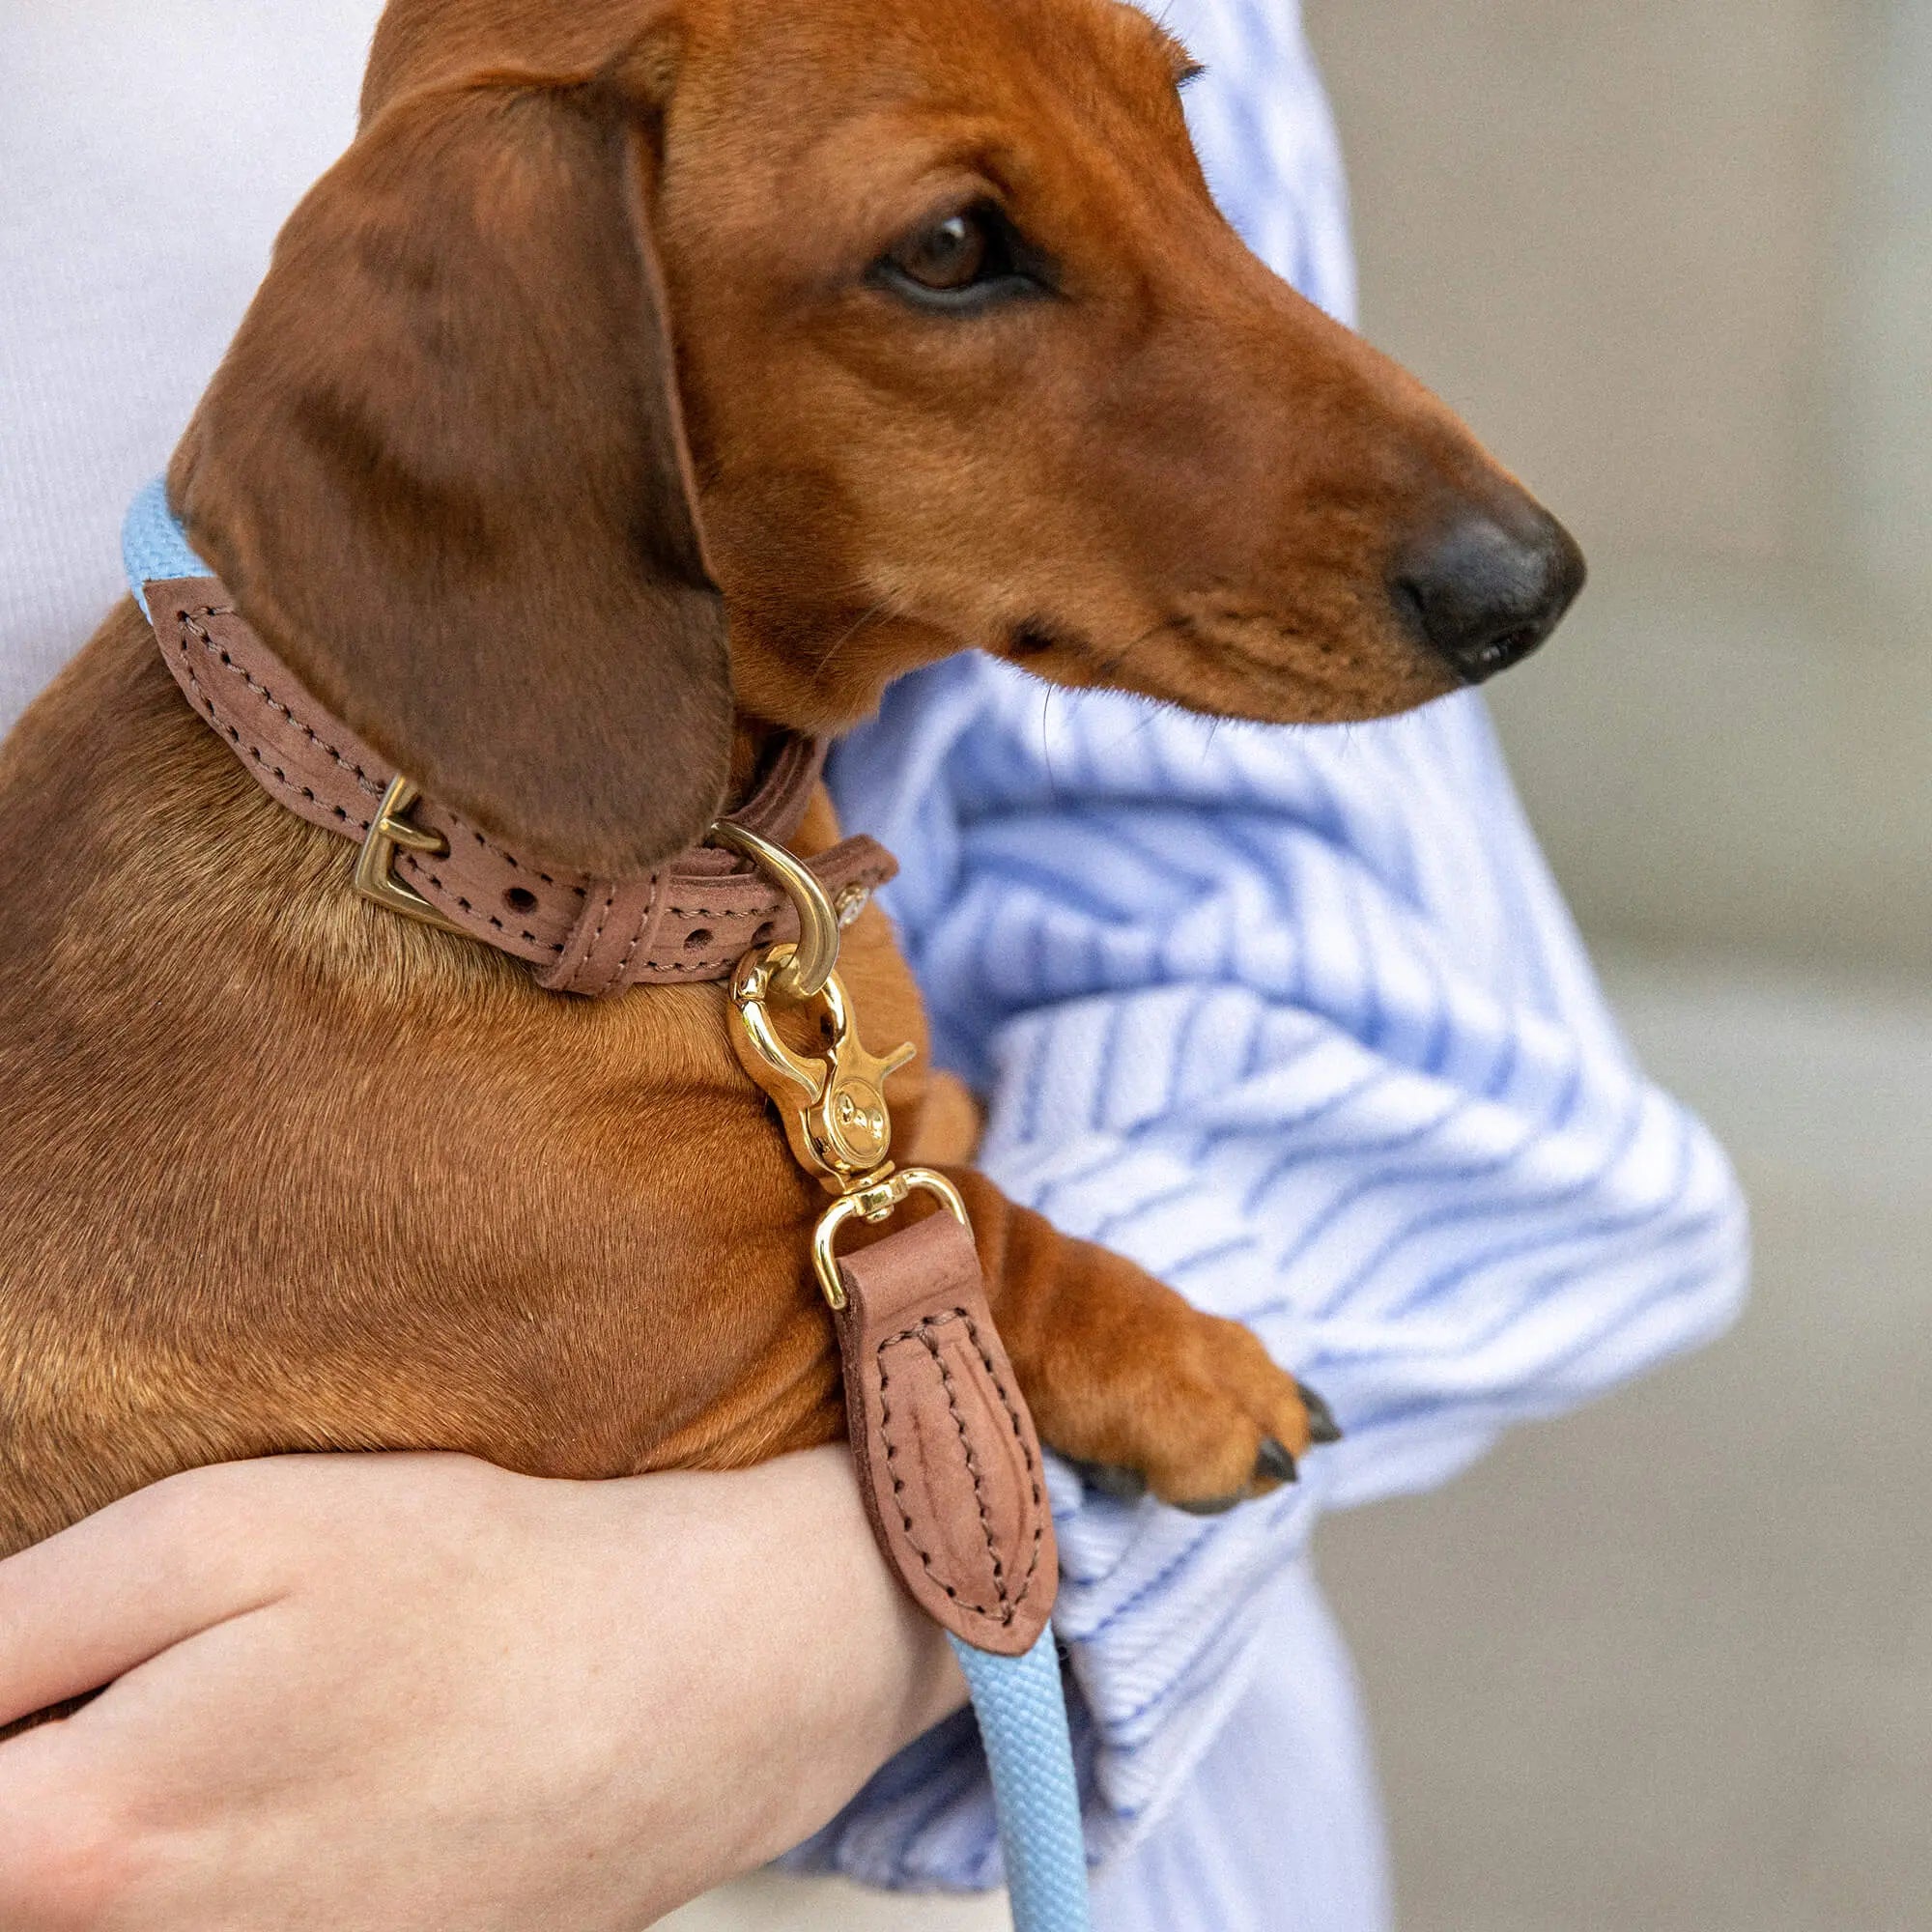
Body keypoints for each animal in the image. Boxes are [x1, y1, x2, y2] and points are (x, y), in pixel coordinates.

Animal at [0, 0, 1577, 1569]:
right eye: (948, 246)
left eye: (1177, 109)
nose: (1532, 584)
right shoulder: (728, 1388)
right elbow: (960, 1234)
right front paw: (1181, 1359)